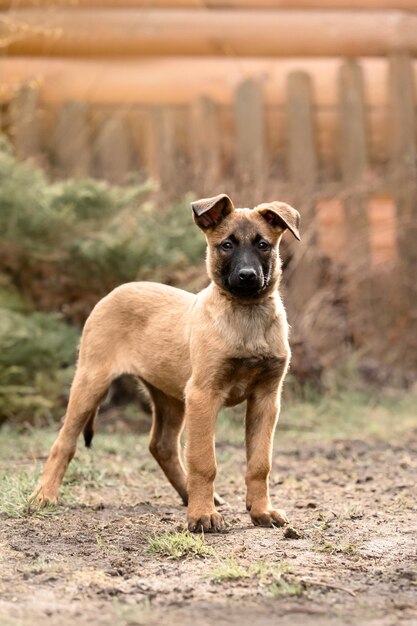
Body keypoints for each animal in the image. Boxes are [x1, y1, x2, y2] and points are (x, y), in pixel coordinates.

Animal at [32, 193, 300, 528]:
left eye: (263, 244)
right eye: (226, 245)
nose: (247, 276)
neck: (246, 313)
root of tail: (116, 290)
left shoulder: (266, 398)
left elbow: (260, 463)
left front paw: (261, 511)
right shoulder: (204, 395)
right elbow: (203, 460)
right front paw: (202, 516)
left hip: (170, 397)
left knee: (162, 445)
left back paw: (191, 494)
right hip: (91, 381)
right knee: (64, 441)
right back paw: (45, 495)